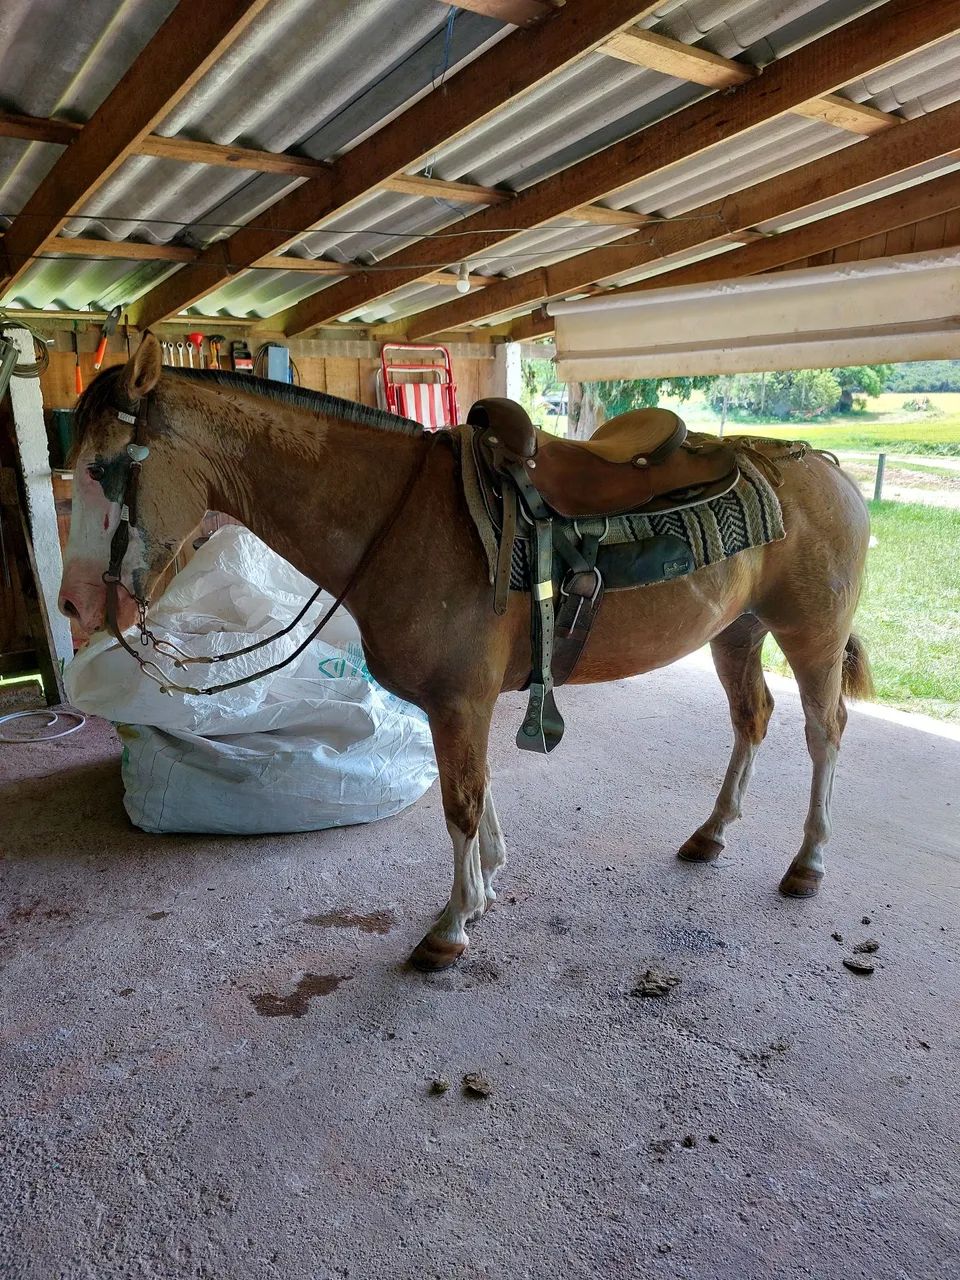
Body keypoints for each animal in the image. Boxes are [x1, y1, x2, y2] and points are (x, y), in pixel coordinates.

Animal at [59, 334, 873, 970]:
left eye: (104, 469)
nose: (74, 605)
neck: (399, 519)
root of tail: (823, 465)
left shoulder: (458, 700)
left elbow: (460, 802)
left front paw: (449, 928)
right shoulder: (462, 702)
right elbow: (479, 794)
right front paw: (483, 890)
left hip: (812, 635)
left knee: (824, 731)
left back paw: (808, 862)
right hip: (738, 631)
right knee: (752, 717)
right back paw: (711, 833)